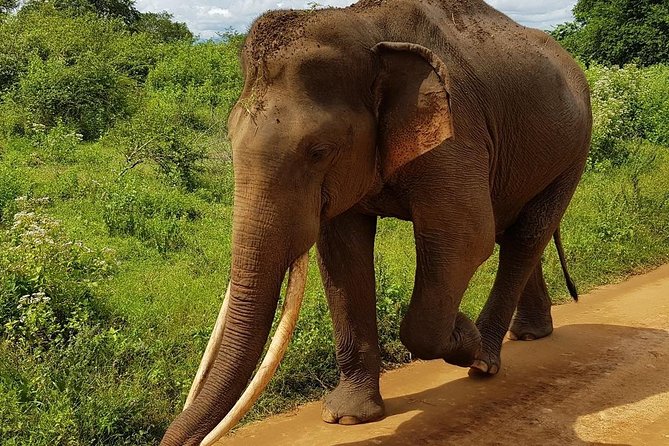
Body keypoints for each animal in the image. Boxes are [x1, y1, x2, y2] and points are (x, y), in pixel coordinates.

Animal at [161, 0, 592, 444]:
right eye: (230, 139)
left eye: (318, 151)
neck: (363, 28)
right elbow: (342, 255)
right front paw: (347, 418)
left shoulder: (460, 130)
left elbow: (466, 238)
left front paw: (465, 337)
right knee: (517, 233)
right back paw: (529, 335)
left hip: (574, 150)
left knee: (526, 237)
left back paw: (484, 360)